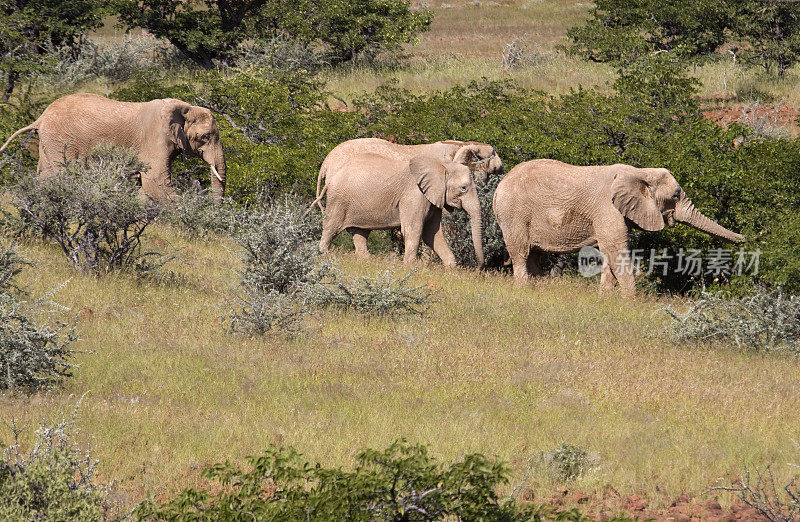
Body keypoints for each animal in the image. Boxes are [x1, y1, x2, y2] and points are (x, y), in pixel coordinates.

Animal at [0, 92, 225, 200]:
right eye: (205, 137)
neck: (184, 107)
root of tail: (40, 117)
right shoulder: (155, 139)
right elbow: (155, 181)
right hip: (61, 139)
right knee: (62, 173)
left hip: (49, 140)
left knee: (45, 173)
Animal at [320, 151, 484, 266]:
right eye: (463, 188)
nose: (479, 266)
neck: (441, 165)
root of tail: (331, 178)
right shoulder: (414, 195)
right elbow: (414, 230)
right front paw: (410, 267)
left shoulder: (432, 198)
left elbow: (432, 233)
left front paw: (451, 269)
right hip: (338, 200)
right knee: (331, 227)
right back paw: (323, 255)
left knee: (360, 233)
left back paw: (366, 260)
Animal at [494, 159, 752, 292]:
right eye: (676, 196)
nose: (746, 239)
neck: (640, 172)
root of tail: (499, 186)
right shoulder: (607, 209)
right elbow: (616, 251)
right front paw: (632, 303)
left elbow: (610, 256)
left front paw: (606, 299)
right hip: (513, 214)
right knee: (521, 253)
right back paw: (523, 290)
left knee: (534, 255)